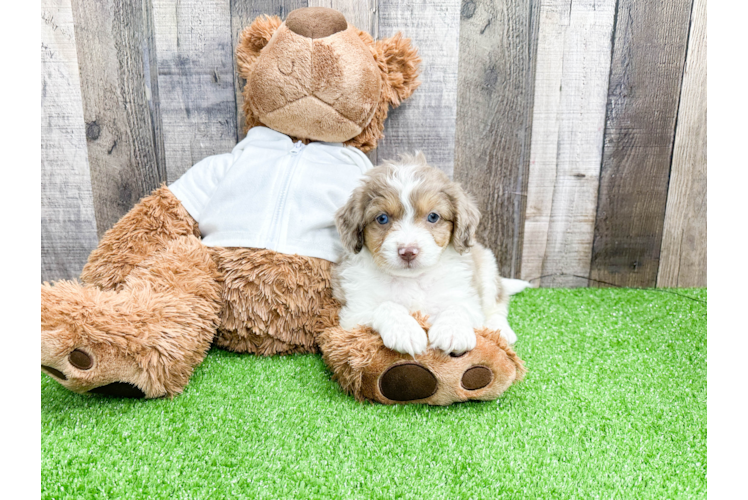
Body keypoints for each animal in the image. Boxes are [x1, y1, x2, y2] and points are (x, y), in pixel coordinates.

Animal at [334, 152, 532, 356]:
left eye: (433, 217)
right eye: (382, 218)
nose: (408, 252)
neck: (412, 280)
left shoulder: (466, 297)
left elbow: (457, 307)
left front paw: (453, 331)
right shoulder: (355, 312)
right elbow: (386, 306)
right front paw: (405, 330)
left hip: (487, 268)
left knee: (498, 304)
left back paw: (500, 330)